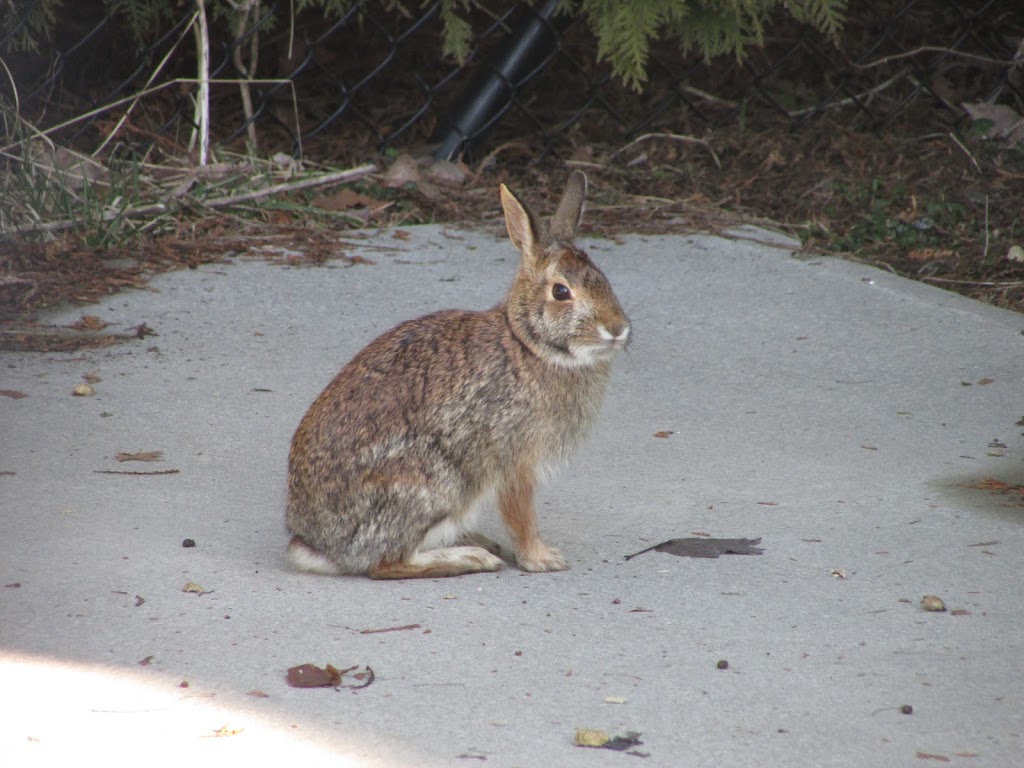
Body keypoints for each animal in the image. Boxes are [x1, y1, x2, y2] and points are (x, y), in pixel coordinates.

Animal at [284, 171, 626, 581]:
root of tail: (319, 546)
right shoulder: (515, 460)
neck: (529, 343)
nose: (618, 329)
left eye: (604, 279)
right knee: (387, 564)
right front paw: (542, 560)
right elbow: (521, 516)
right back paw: (471, 557)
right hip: (434, 482)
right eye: (562, 291)